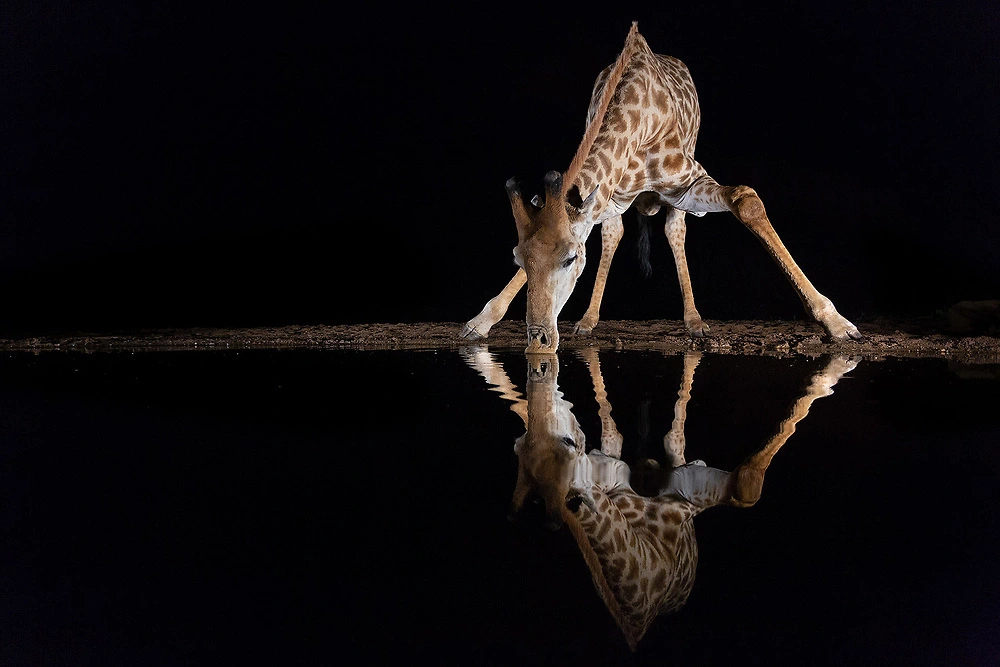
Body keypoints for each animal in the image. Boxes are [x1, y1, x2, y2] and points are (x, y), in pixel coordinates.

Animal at [460, 22, 860, 352]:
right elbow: (595, 233)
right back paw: (588, 321)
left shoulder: (688, 183)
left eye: (570, 259)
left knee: (673, 229)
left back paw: (694, 321)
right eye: (519, 259)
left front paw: (837, 324)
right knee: (614, 235)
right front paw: (479, 323)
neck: (637, 115)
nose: (539, 341)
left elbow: (745, 199)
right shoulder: (604, 196)